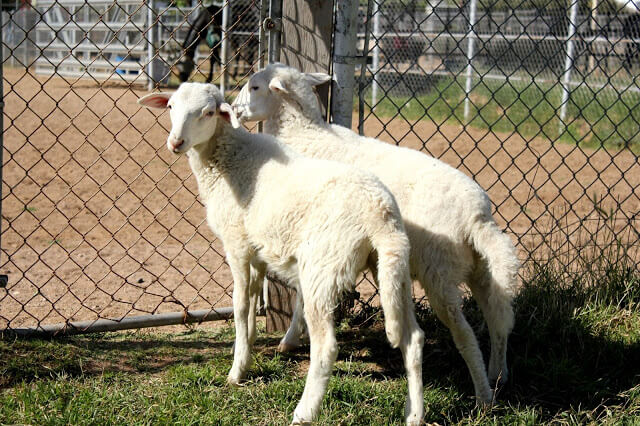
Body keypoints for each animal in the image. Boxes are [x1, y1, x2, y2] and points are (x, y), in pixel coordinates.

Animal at [136, 81, 424, 424]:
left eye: (207, 112)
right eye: (170, 107)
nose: (175, 143)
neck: (228, 157)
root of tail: (380, 212)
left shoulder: (236, 244)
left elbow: (240, 304)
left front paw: (237, 370)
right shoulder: (257, 248)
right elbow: (252, 298)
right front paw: (248, 342)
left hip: (323, 268)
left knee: (326, 347)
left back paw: (304, 412)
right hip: (392, 269)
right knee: (413, 339)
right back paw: (415, 414)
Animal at [232, 62, 524, 402]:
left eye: (255, 87)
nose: (235, 110)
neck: (304, 135)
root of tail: (478, 217)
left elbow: (301, 296)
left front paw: (290, 338)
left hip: (438, 270)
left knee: (464, 330)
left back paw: (483, 395)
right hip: (479, 268)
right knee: (498, 317)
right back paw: (498, 375)